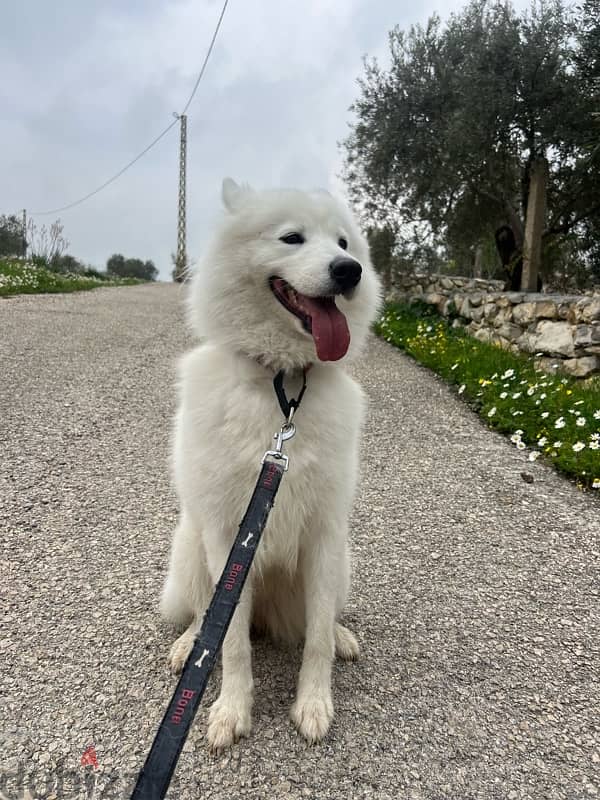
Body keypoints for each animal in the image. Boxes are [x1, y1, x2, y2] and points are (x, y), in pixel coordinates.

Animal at [161, 180, 380, 752]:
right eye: (291, 238)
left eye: (343, 242)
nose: (350, 270)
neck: (284, 385)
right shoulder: (226, 536)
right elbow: (230, 641)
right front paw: (231, 711)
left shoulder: (324, 533)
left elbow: (317, 638)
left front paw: (314, 705)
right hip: (189, 548)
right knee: (201, 616)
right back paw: (186, 646)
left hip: (340, 562)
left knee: (320, 622)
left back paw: (343, 636)